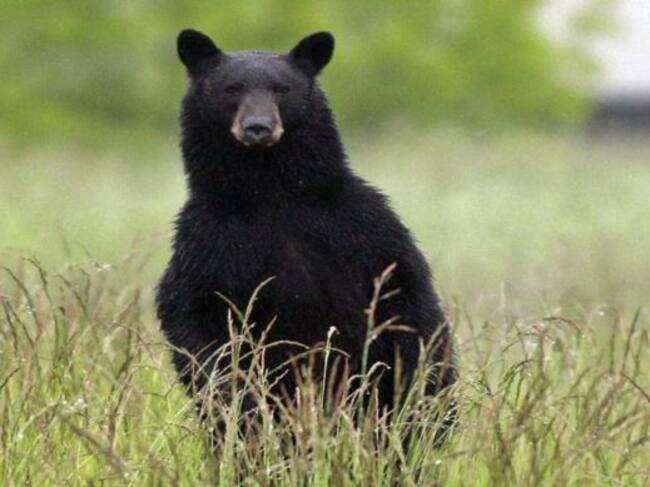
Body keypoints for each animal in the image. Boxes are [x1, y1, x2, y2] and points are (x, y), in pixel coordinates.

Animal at [156, 29, 457, 430]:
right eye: (231, 88)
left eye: (282, 89)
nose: (258, 128)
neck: (270, 191)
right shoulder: (208, 241)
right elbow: (195, 317)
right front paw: (239, 399)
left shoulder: (363, 226)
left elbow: (407, 297)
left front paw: (418, 389)